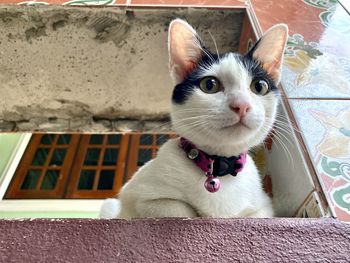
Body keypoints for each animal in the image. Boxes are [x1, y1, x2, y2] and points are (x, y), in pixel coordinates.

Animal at [100, 18, 288, 220]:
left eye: (259, 86)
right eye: (209, 85)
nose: (242, 105)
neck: (219, 167)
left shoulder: (264, 208)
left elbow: (253, 215)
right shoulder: (140, 198)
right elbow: (181, 210)